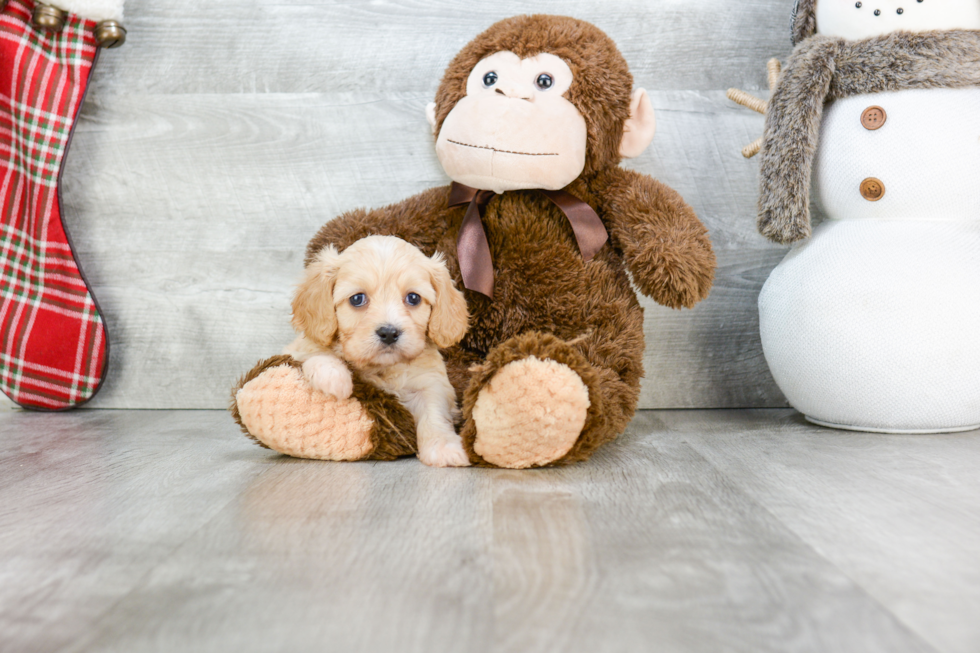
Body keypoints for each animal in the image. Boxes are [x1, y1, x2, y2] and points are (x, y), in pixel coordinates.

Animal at [284, 237, 470, 466]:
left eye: (413, 298)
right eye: (357, 299)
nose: (389, 333)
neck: (382, 367)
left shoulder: (430, 381)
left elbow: (434, 412)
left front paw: (444, 447)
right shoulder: (297, 349)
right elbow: (315, 351)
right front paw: (334, 378)